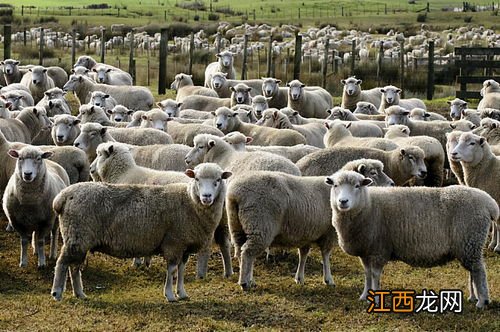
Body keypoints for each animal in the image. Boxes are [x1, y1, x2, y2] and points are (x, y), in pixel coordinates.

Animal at [50, 162, 230, 302]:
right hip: (76, 235)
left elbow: (181, 270)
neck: (190, 201)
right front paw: (170, 295)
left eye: (218, 180)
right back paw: (57, 293)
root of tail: (62, 197)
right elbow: (172, 270)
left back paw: (80, 294)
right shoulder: (174, 242)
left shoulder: (184, 246)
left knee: (74, 267)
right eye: (197, 179)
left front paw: (182, 293)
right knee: (62, 263)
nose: (206, 197)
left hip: (80, 239)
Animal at [324, 170, 496, 308]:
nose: (343, 201)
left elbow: (375, 276)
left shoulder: (379, 250)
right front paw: (365, 295)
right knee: (472, 271)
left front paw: (376, 300)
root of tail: (489, 203)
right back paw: (473, 297)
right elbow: (367, 274)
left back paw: (482, 302)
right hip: (467, 246)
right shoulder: (365, 251)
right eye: (335, 185)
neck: (368, 204)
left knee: (479, 271)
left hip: (471, 240)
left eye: (357, 186)